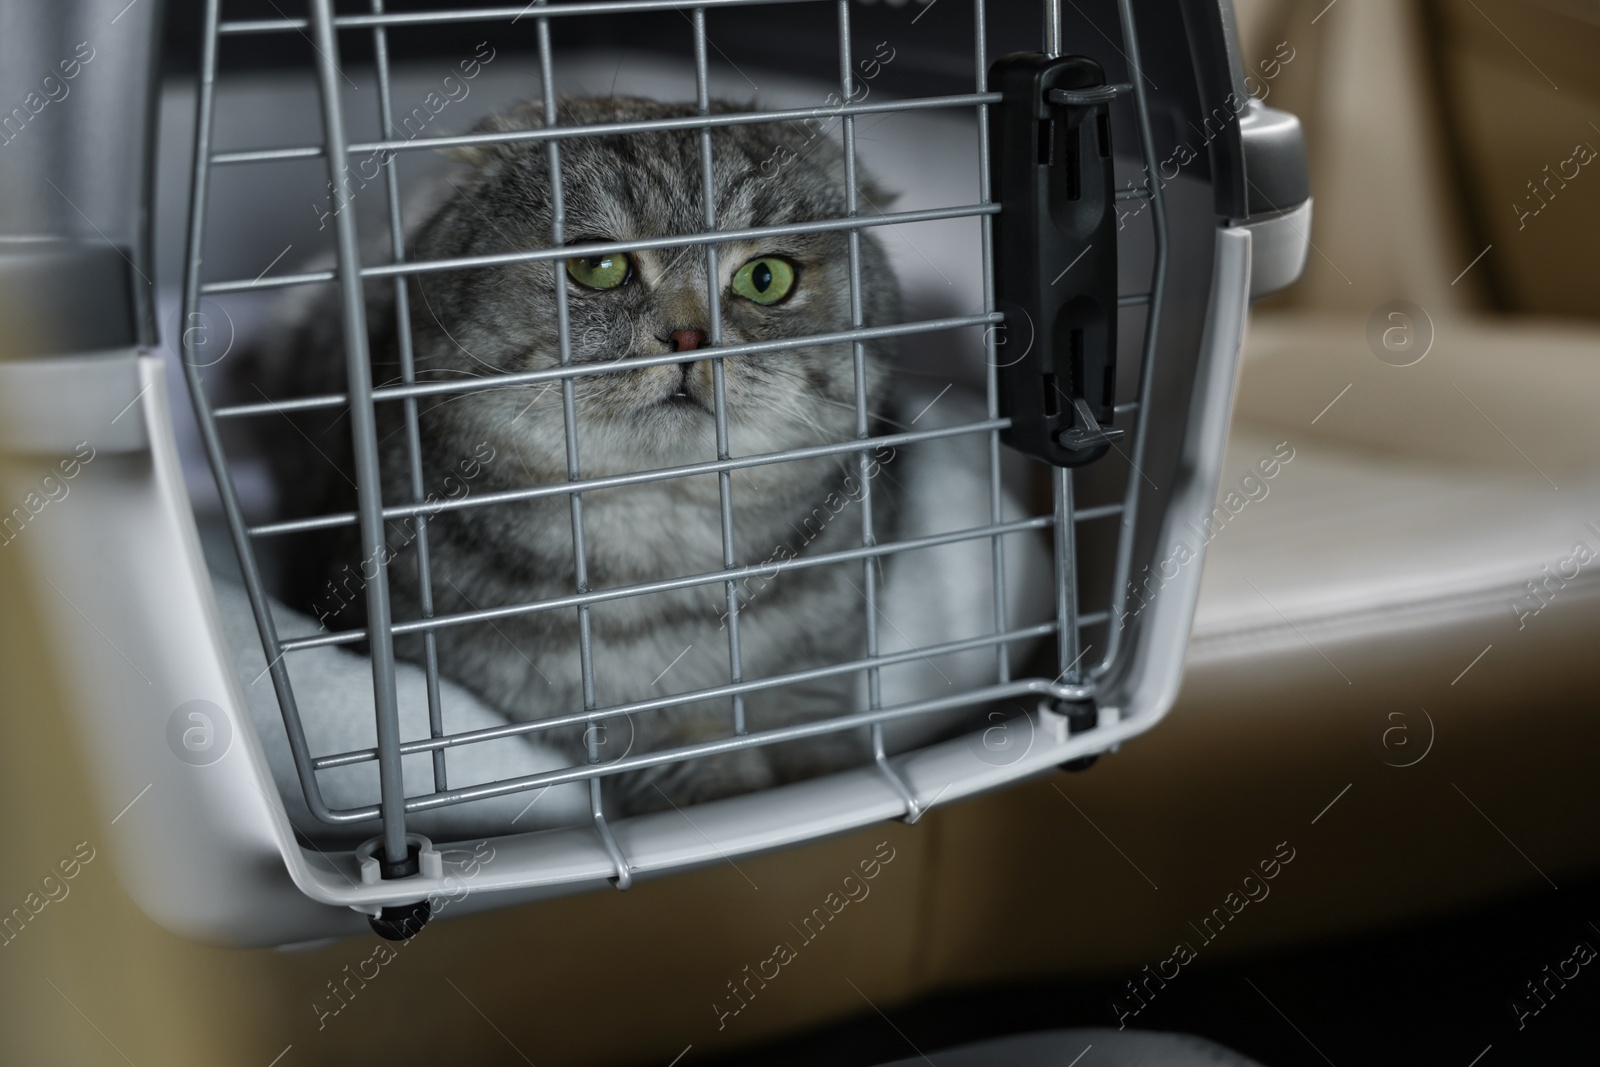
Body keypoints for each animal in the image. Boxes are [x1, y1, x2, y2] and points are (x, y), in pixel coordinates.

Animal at [248, 95, 902, 812]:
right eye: (598, 268)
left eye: (765, 277)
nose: (688, 336)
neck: (673, 556)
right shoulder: (594, 720)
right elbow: (692, 759)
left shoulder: (815, 673)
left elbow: (824, 747)